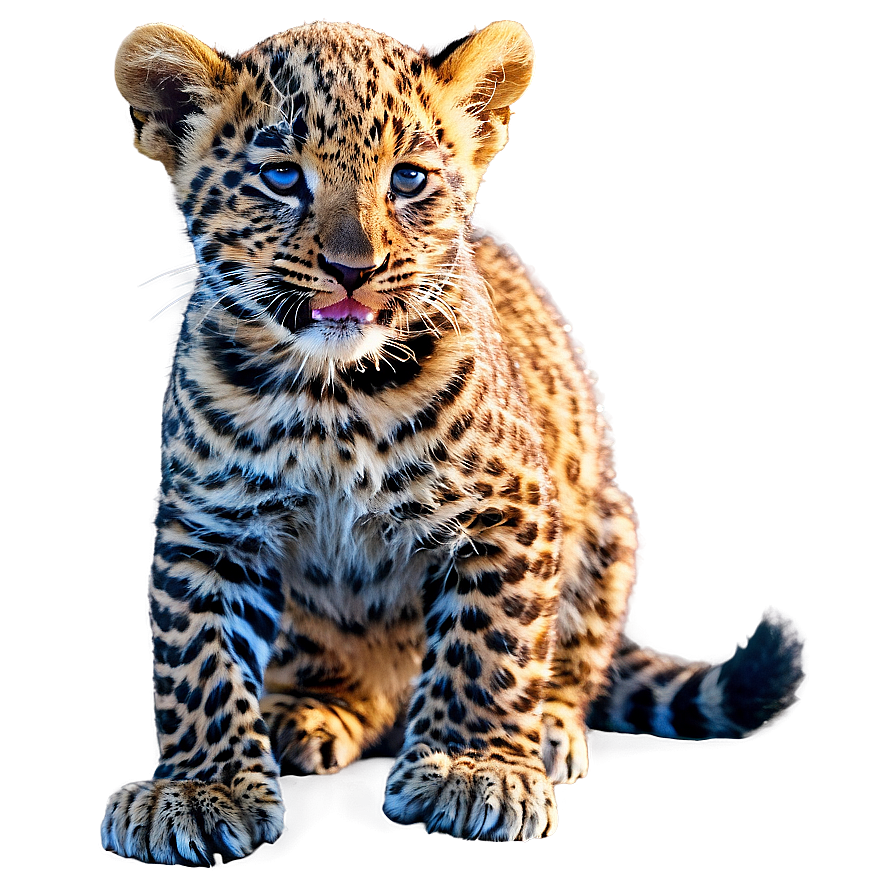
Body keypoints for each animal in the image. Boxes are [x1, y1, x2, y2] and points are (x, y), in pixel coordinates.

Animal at [101, 19, 805, 864]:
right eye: (280, 176)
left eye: (407, 180)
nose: (352, 269)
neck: (329, 398)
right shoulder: (211, 528)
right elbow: (197, 664)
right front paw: (199, 789)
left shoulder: (509, 512)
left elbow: (489, 646)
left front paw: (475, 771)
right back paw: (308, 711)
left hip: (608, 526)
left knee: (572, 658)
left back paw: (551, 730)